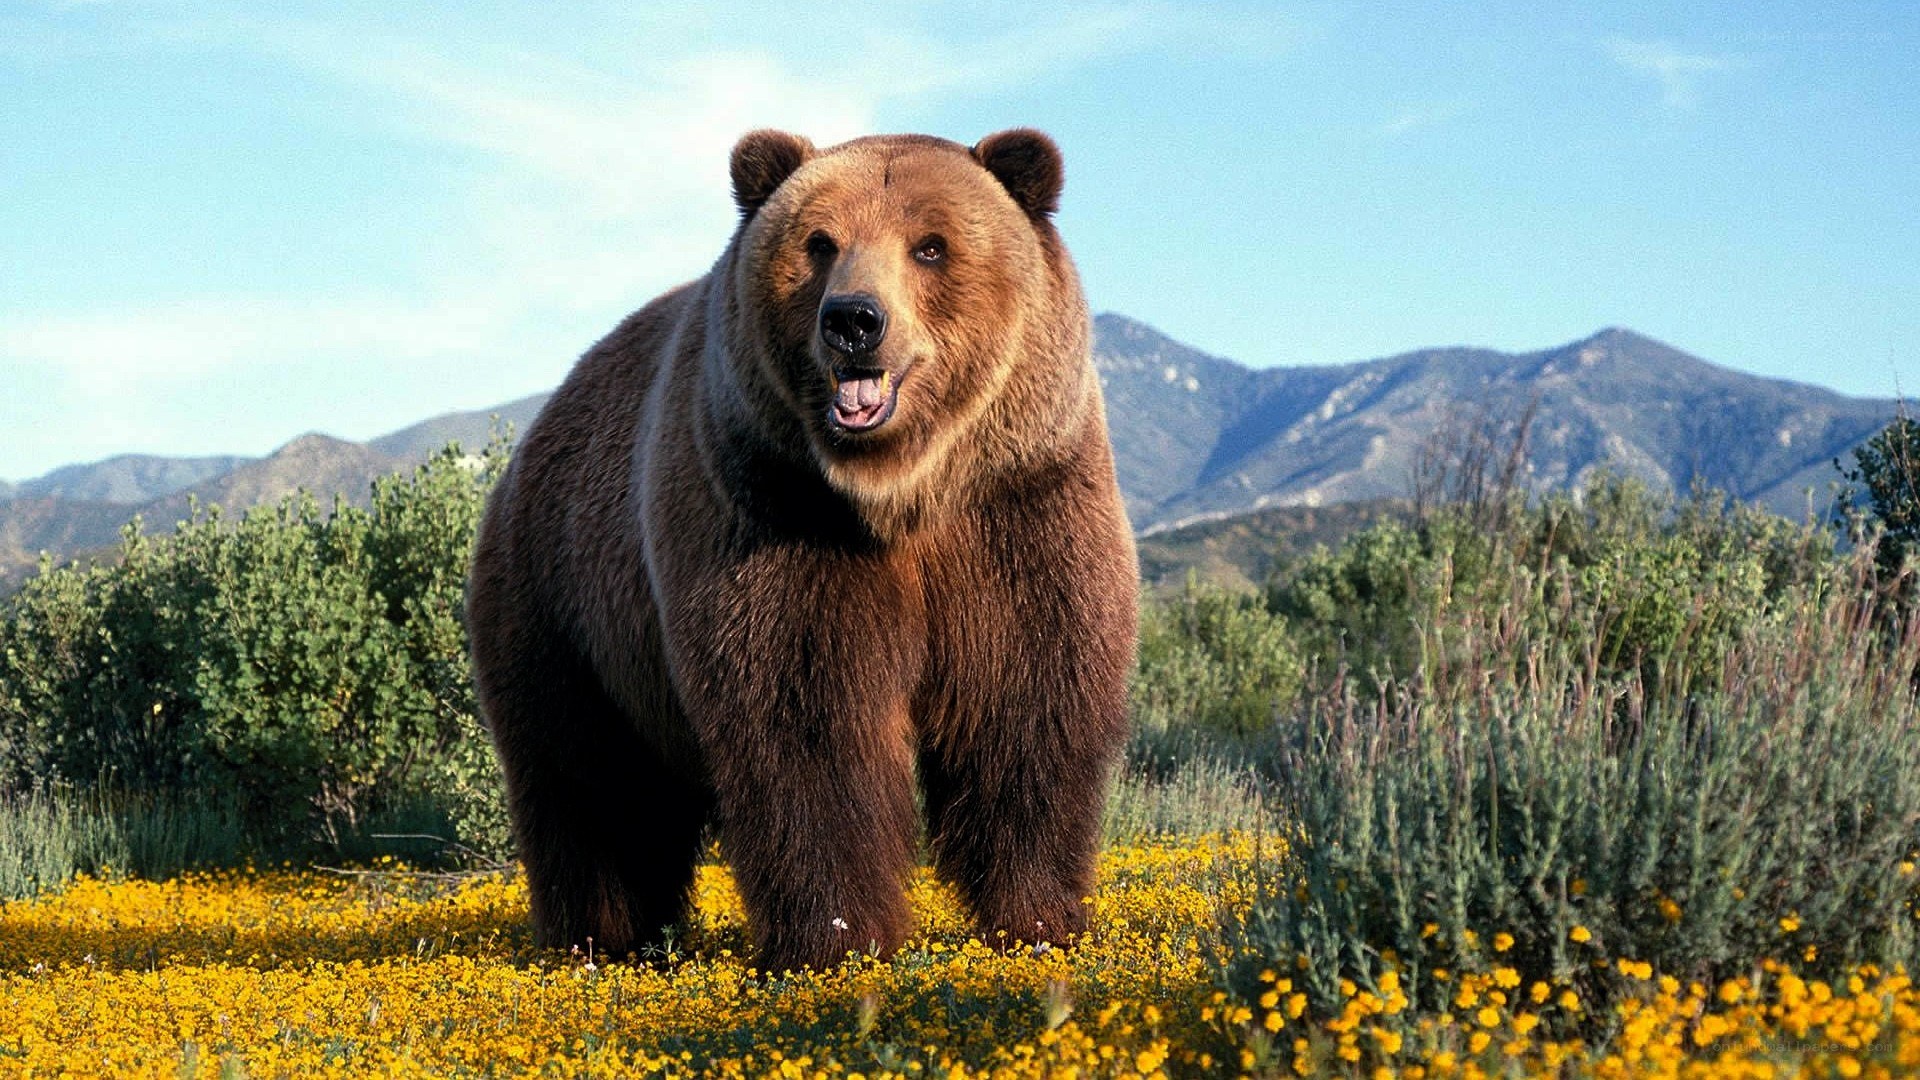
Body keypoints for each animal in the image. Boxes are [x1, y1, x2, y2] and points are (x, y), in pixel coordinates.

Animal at [465, 128, 1138, 973]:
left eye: (931, 245)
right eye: (820, 243)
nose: (853, 319)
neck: (901, 491)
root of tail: (533, 436)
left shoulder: (1019, 508)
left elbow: (1027, 702)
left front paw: (1039, 920)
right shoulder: (774, 513)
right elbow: (807, 722)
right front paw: (838, 939)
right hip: (565, 605)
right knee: (589, 782)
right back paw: (600, 938)